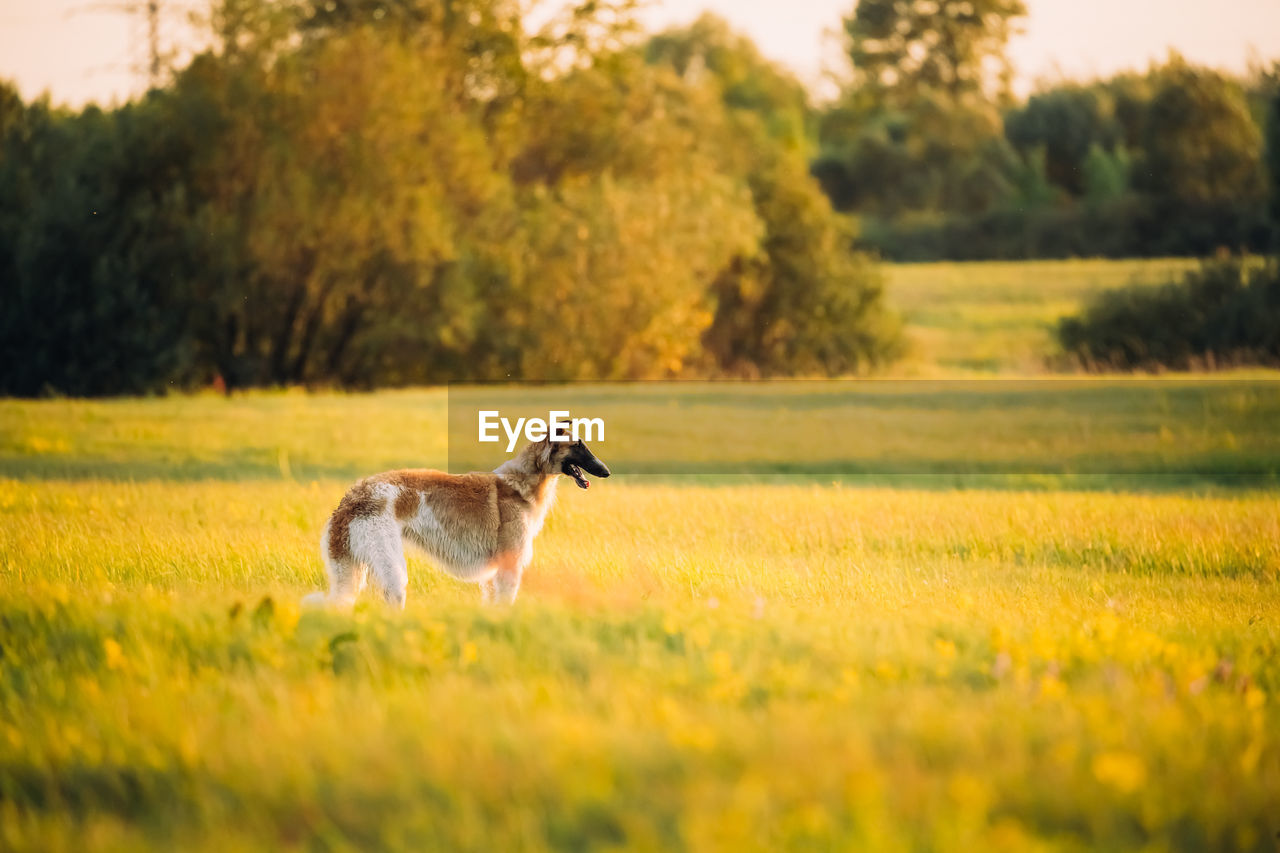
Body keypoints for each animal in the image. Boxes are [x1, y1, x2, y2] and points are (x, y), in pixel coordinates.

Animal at [307, 435, 611, 607]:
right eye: (578, 445)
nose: (606, 472)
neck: (521, 484)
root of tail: (349, 500)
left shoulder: (492, 578)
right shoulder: (509, 569)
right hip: (391, 569)